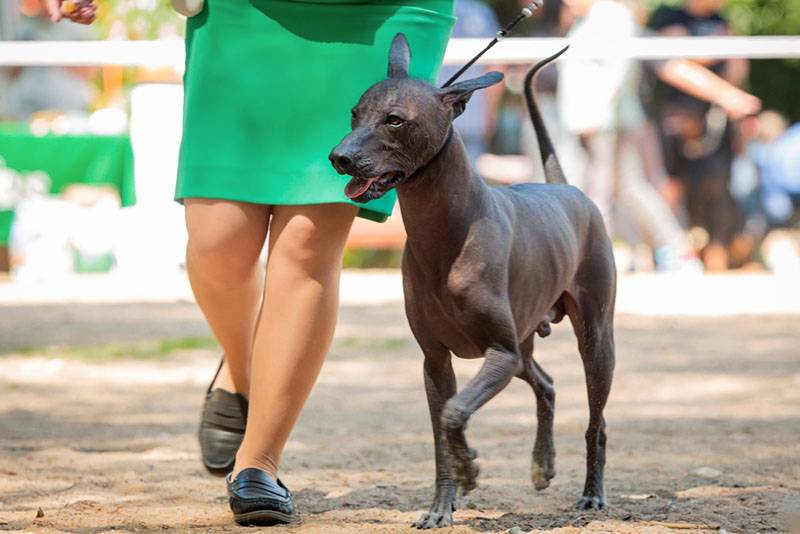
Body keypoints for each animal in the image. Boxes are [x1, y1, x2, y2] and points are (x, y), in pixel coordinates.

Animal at [328, 34, 616, 532]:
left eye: (394, 119)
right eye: (354, 113)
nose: (339, 157)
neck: (445, 234)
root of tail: (565, 186)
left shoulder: (499, 353)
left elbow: (454, 413)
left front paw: (468, 470)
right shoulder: (436, 361)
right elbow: (441, 430)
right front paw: (444, 502)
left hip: (593, 341)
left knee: (595, 421)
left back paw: (592, 494)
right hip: (524, 344)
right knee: (546, 383)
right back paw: (542, 465)